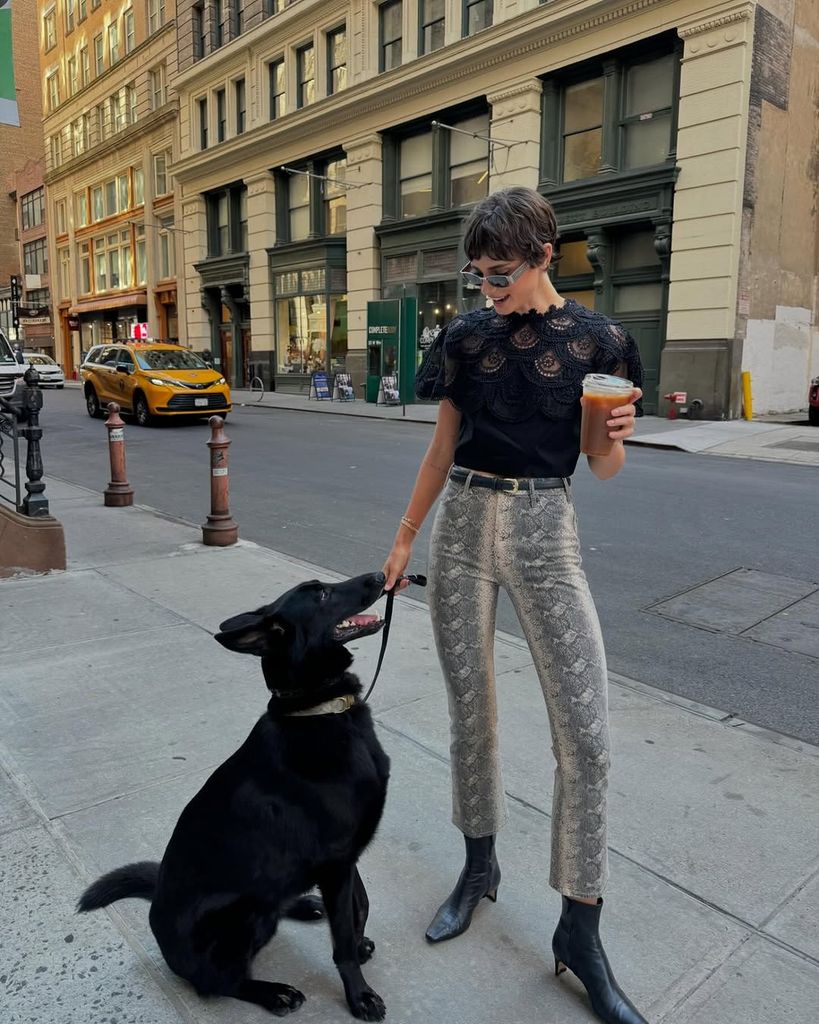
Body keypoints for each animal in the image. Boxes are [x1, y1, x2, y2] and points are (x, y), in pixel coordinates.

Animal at [78, 573, 391, 1019]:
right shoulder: (336, 861)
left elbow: (358, 906)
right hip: (244, 913)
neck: (317, 709)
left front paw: (358, 942)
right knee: (216, 983)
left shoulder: (344, 858)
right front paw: (359, 993)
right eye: (323, 594)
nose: (380, 576)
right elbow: (343, 936)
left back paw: (304, 906)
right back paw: (273, 992)